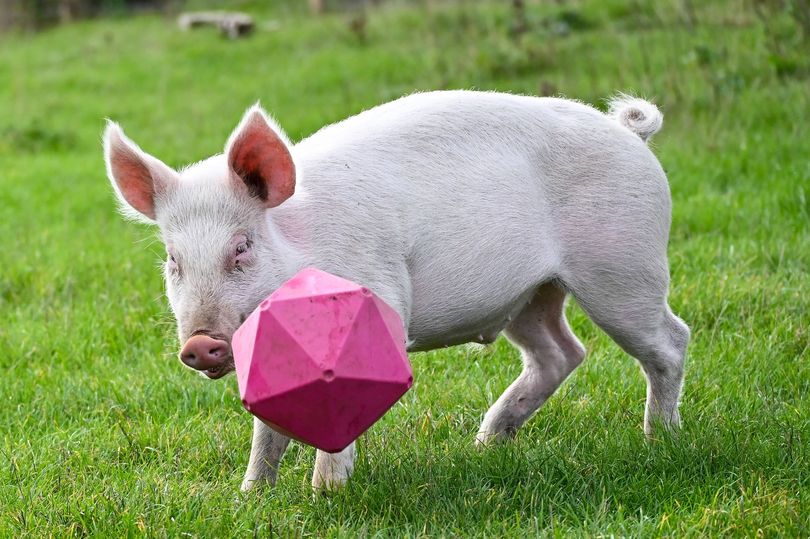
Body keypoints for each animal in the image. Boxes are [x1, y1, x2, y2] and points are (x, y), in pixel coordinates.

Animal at [103, 90, 690, 491]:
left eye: (242, 247)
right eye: (173, 260)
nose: (200, 343)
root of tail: (629, 134)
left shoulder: (378, 299)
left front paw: (326, 494)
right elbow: (268, 426)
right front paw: (251, 496)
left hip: (622, 266)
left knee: (670, 340)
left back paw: (659, 439)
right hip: (533, 294)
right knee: (562, 352)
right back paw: (485, 444)